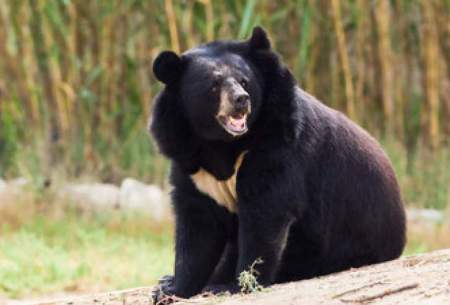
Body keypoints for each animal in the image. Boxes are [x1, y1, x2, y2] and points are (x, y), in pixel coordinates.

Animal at [149, 26, 406, 302]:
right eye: (214, 85)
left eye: (244, 81)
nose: (241, 99)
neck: (221, 144)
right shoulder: (191, 163)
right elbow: (198, 227)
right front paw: (172, 289)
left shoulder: (277, 148)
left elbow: (265, 214)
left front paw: (233, 285)